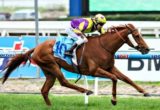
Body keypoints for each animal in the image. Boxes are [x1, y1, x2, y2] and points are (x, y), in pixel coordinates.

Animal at [1, 23, 150, 105]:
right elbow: (114, 78)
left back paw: (51, 106)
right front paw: (113, 100)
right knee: (63, 82)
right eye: (137, 35)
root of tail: (37, 47)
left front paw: (144, 92)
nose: (147, 49)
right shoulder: (94, 70)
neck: (104, 46)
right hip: (52, 65)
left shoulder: (110, 67)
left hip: (49, 71)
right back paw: (87, 90)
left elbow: (126, 78)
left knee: (45, 90)